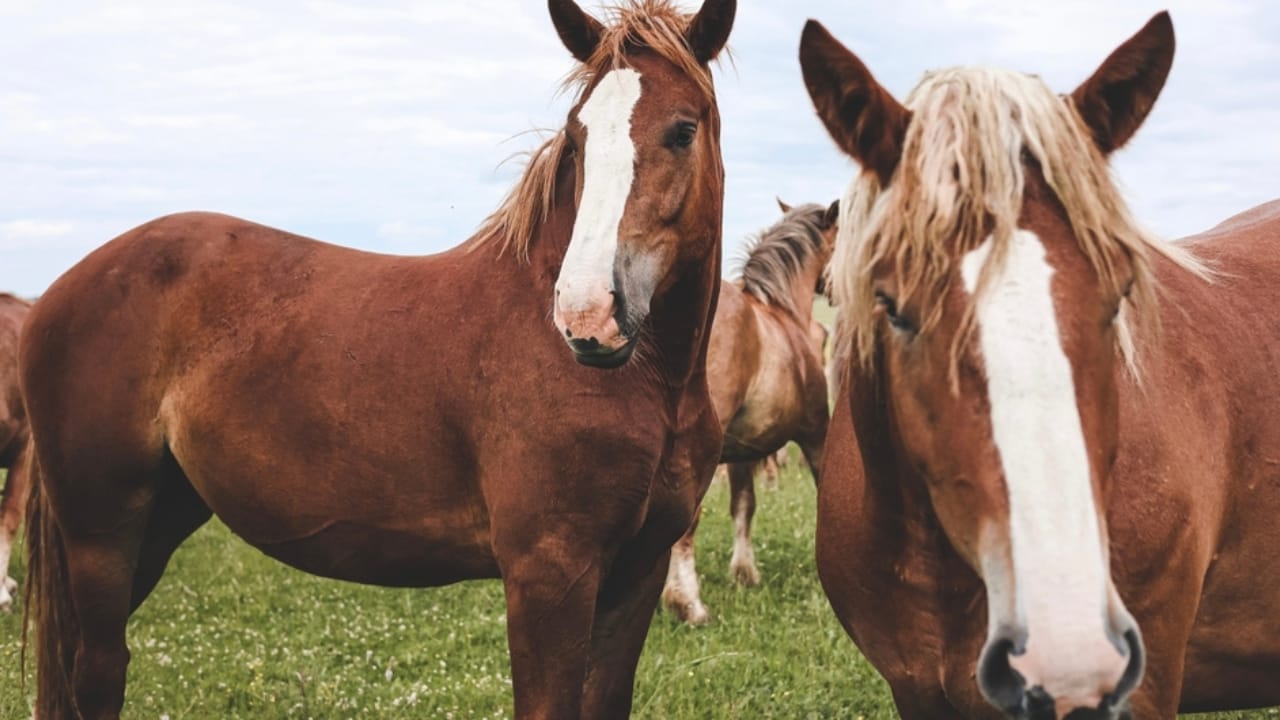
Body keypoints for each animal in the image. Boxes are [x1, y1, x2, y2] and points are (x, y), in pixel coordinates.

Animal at [19, 1, 735, 717]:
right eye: (578, 136)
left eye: (682, 130)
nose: (587, 316)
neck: (647, 386)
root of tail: (57, 292)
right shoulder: (550, 575)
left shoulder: (636, 572)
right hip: (101, 537)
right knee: (99, 673)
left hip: (158, 523)